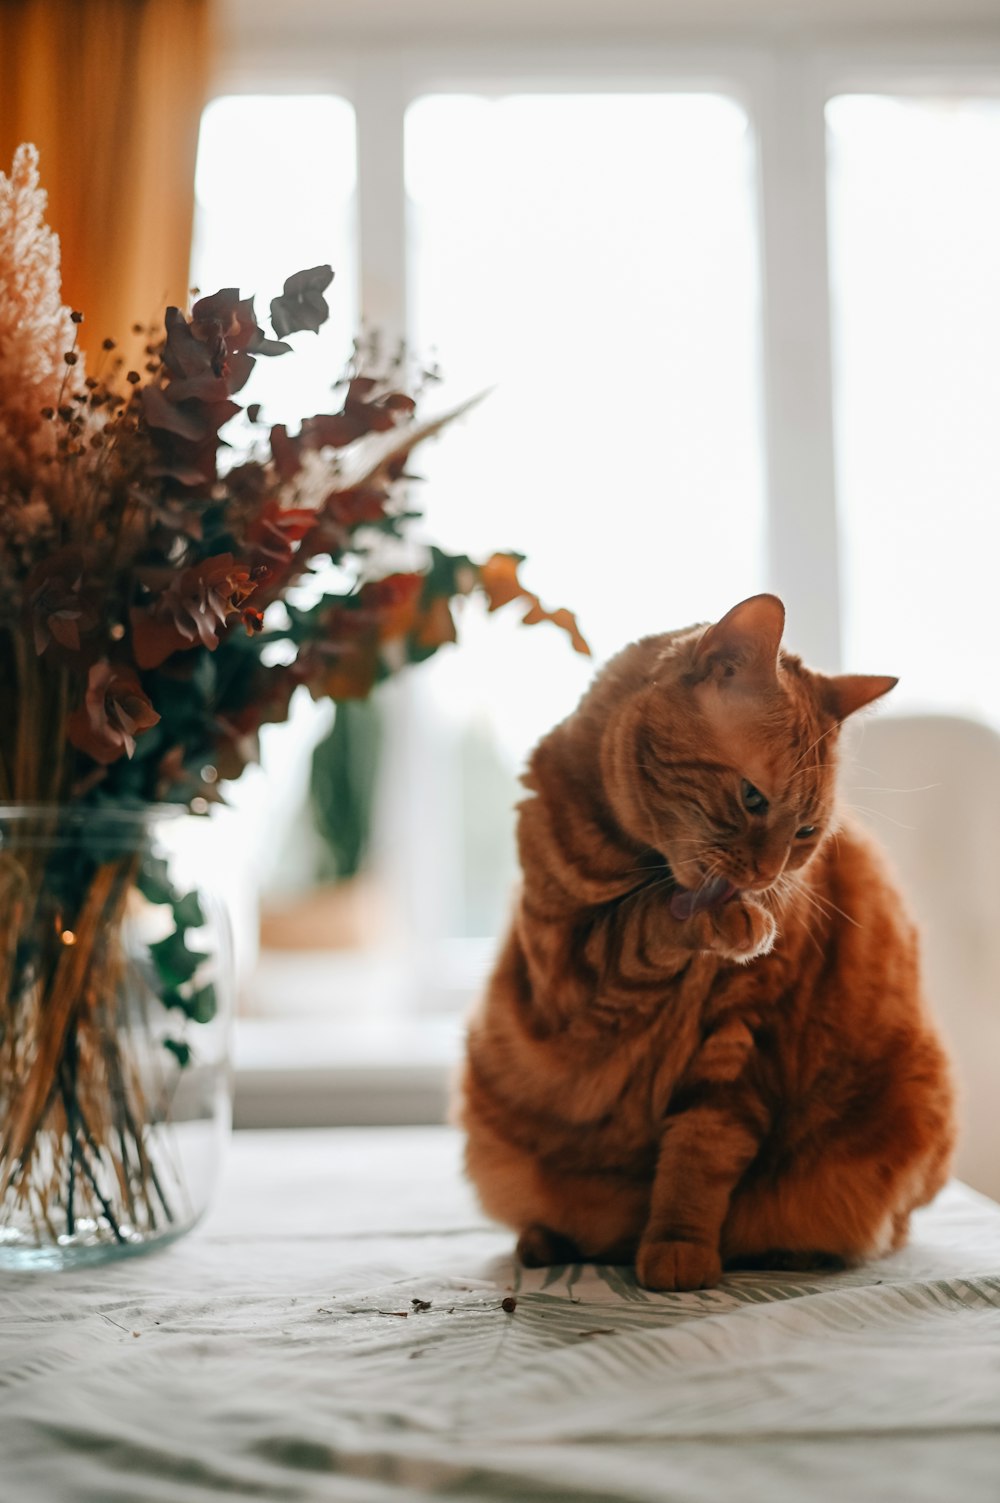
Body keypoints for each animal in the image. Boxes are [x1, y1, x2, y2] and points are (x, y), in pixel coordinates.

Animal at [457, 592, 956, 1286]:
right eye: (751, 799)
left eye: (805, 833)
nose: (768, 877)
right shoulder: (567, 971)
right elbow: (638, 928)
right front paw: (722, 920)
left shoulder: (742, 1041)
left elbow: (702, 1153)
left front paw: (678, 1248)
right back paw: (546, 1241)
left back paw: (791, 1251)